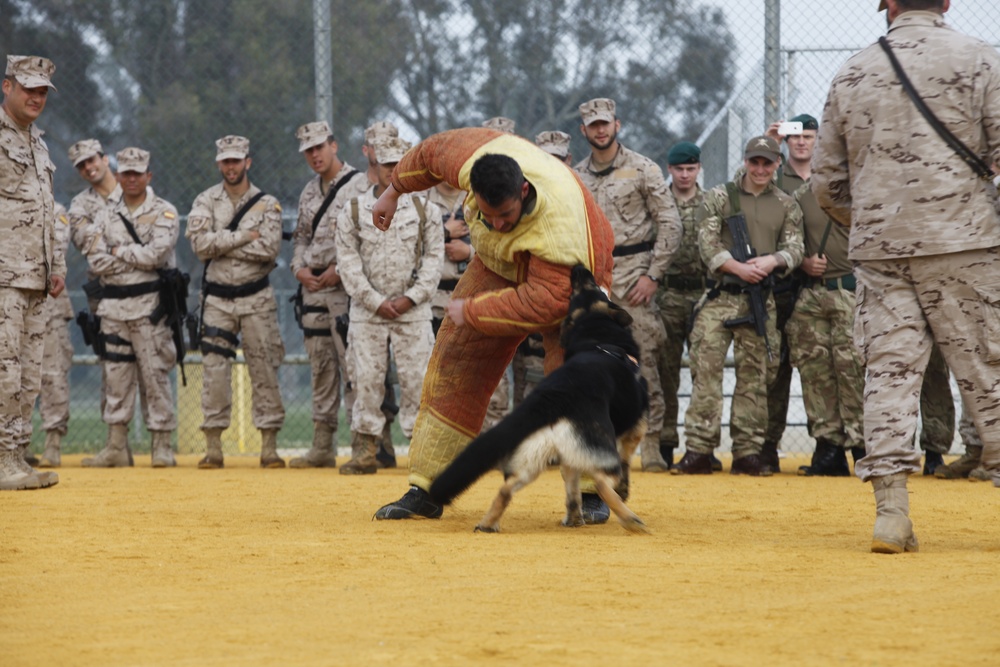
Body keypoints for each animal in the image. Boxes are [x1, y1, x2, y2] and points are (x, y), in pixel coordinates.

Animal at [428, 264, 648, 532]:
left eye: (578, 291)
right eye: (593, 287)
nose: (578, 267)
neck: (596, 335)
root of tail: (553, 395)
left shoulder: (570, 457)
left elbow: (571, 484)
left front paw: (574, 515)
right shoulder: (636, 428)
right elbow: (626, 460)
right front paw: (624, 491)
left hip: (533, 457)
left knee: (506, 489)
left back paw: (491, 523)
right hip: (596, 452)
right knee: (601, 481)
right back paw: (630, 519)